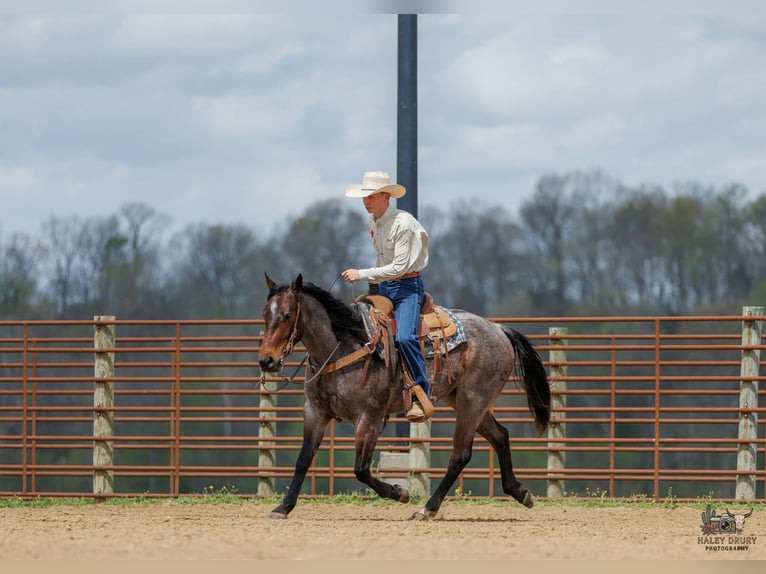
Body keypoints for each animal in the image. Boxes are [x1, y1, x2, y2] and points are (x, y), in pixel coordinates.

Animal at [258, 273, 551, 521]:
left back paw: (426, 509)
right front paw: (283, 507)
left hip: (473, 399)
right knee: (500, 435)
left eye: (287, 315)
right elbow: (303, 459)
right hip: (462, 399)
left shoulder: (370, 418)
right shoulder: (315, 412)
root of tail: (499, 329)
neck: (342, 347)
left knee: (460, 454)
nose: (266, 360)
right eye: (265, 314)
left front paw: (400, 493)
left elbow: (361, 469)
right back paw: (520, 493)